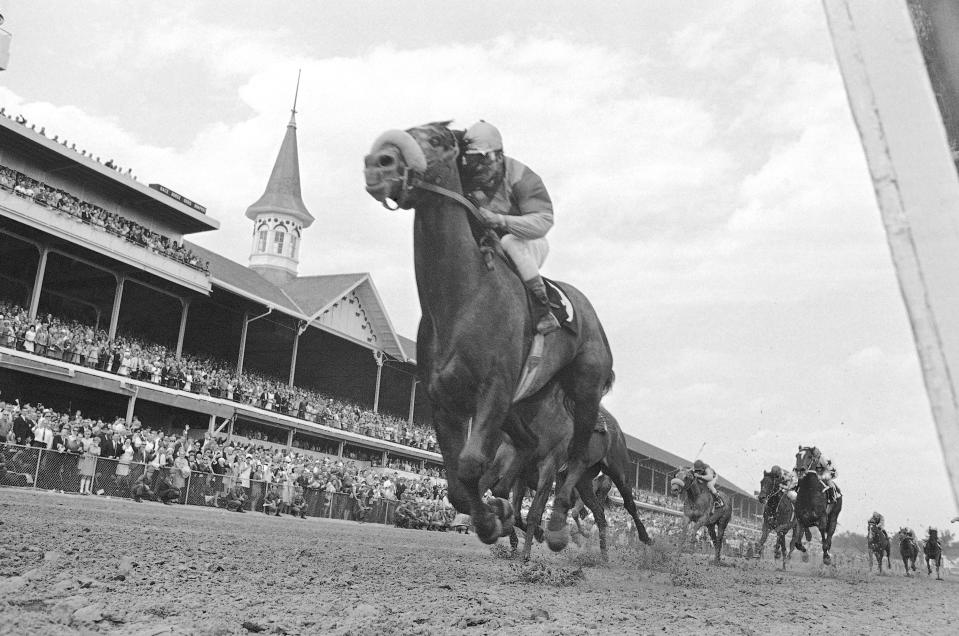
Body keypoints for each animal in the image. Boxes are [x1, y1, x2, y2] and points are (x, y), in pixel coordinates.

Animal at [364, 121, 620, 548]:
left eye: (437, 139)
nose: (377, 163)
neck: (464, 298)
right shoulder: (444, 400)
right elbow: (456, 484)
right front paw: (495, 516)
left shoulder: (494, 389)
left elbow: (470, 466)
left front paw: (496, 519)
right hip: (522, 403)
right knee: (529, 446)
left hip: (584, 391)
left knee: (577, 457)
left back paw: (557, 525)